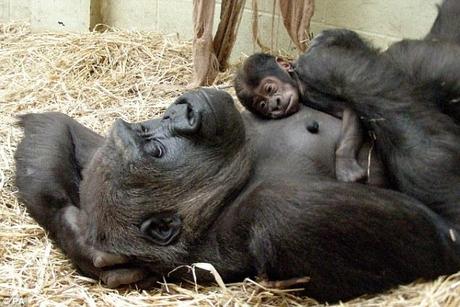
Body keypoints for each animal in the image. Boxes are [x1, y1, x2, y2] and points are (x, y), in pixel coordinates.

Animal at [234, 54, 366, 184]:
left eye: (269, 89)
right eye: (263, 105)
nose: (275, 105)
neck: (295, 75)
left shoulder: (308, 91)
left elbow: (347, 108)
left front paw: (345, 164)